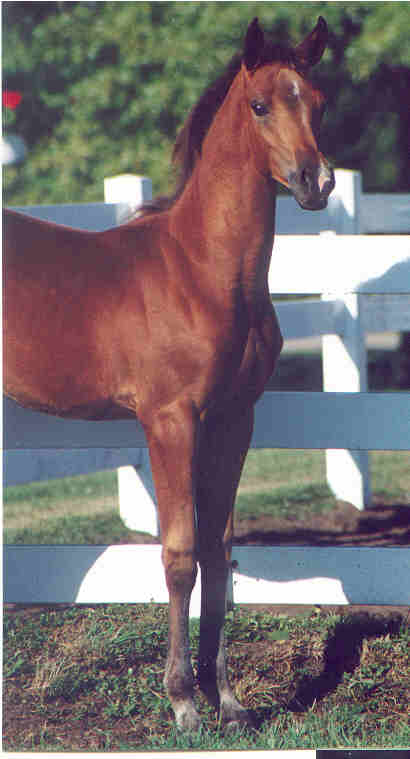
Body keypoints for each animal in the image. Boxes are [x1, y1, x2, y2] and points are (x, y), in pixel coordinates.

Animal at [3, 17, 334, 731]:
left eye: (319, 103)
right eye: (260, 105)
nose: (316, 182)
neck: (202, 270)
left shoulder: (235, 420)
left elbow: (218, 548)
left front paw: (228, 701)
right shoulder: (170, 420)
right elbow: (179, 554)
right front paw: (184, 700)